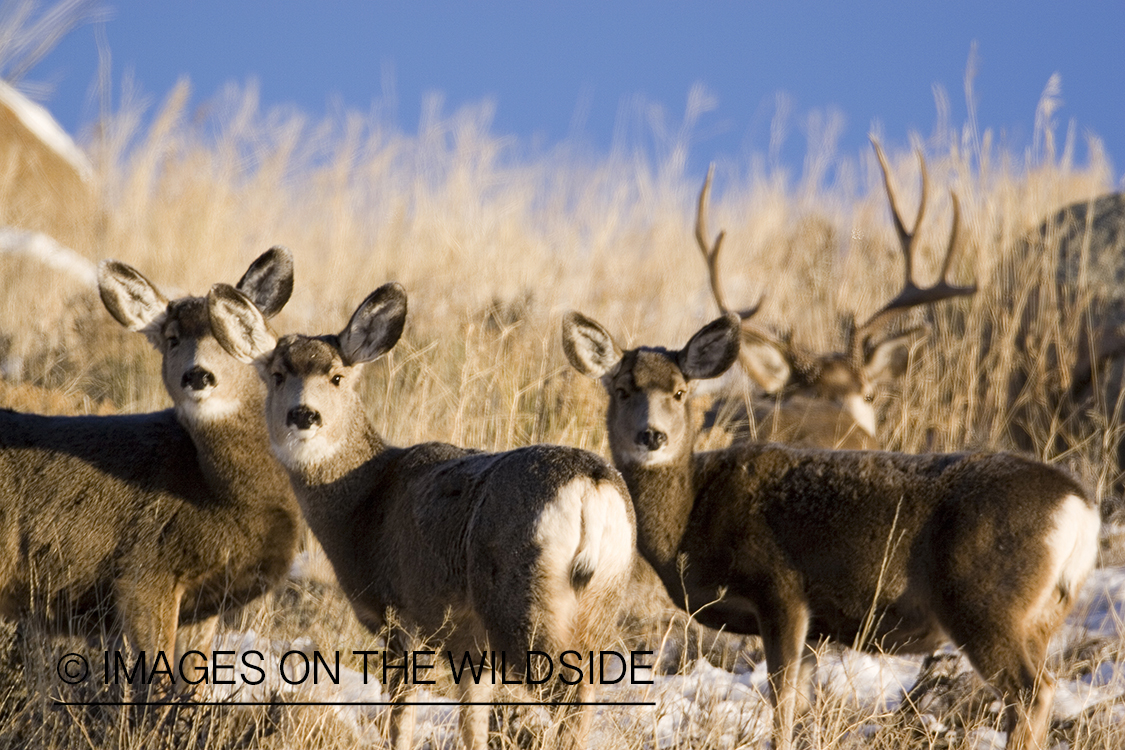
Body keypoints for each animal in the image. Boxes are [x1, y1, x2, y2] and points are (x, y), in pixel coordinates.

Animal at [0, 249, 301, 697]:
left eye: (227, 338)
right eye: (172, 338)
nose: (198, 375)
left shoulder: (204, 601)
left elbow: (192, 684)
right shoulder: (143, 573)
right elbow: (154, 686)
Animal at [208, 281, 639, 750]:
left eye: (337, 377)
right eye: (278, 375)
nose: (304, 414)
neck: (365, 502)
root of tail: (591, 485)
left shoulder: (400, 615)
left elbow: (402, 716)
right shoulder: (471, 643)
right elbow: (472, 723)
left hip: (520, 602)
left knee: (565, 695)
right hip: (603, 598)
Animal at [562, 305, 1098, 750]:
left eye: (679, 391)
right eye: (622, 389)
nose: (651, 435)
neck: (691, 518)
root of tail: (1081, 508)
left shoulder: (781, 590)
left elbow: (782, 702)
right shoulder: (815, 627)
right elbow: (800, 704)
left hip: (984, 602)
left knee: (1032, 694)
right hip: (1041, 615)